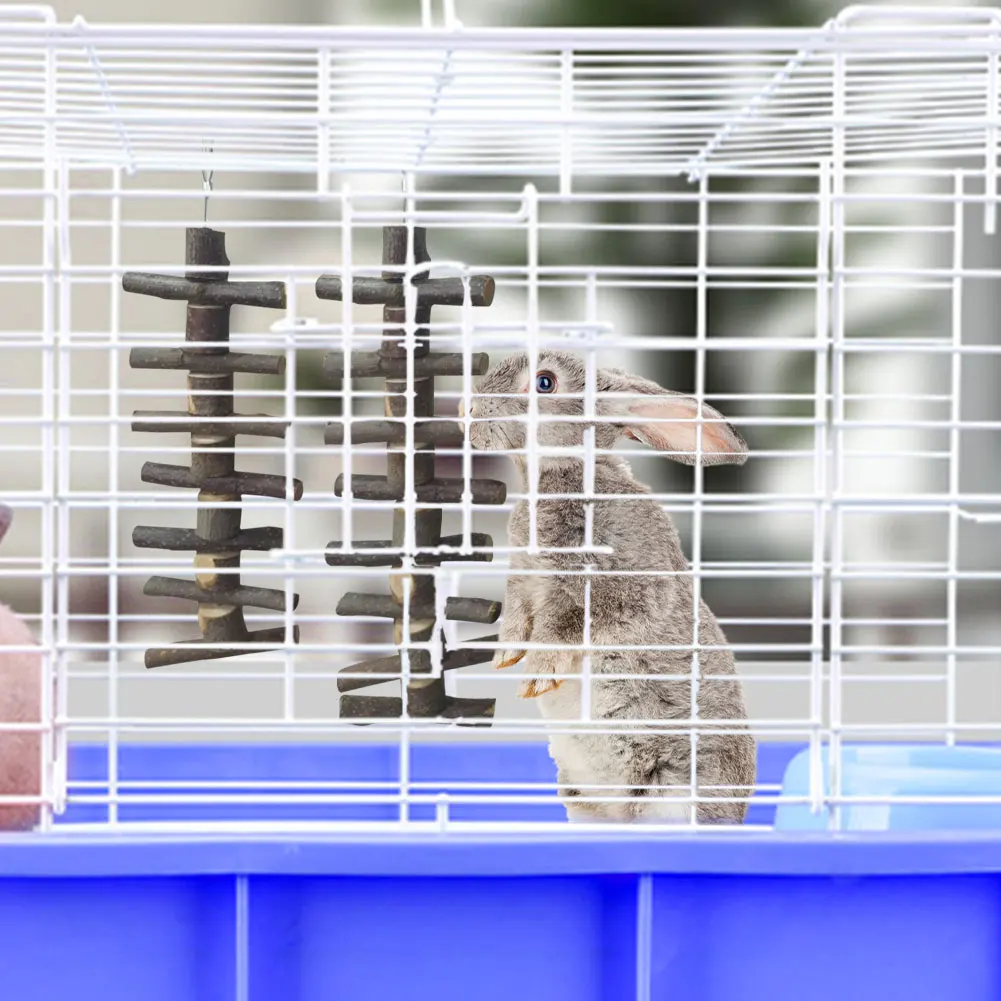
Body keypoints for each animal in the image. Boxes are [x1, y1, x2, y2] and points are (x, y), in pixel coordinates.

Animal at [462, 350, 756, 824]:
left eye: (544, 383)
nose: (465, 411)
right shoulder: (522, 583)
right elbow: (517, 620)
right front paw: (504, 660)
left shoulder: (609, 589)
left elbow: (563, 628)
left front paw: (535, 678)